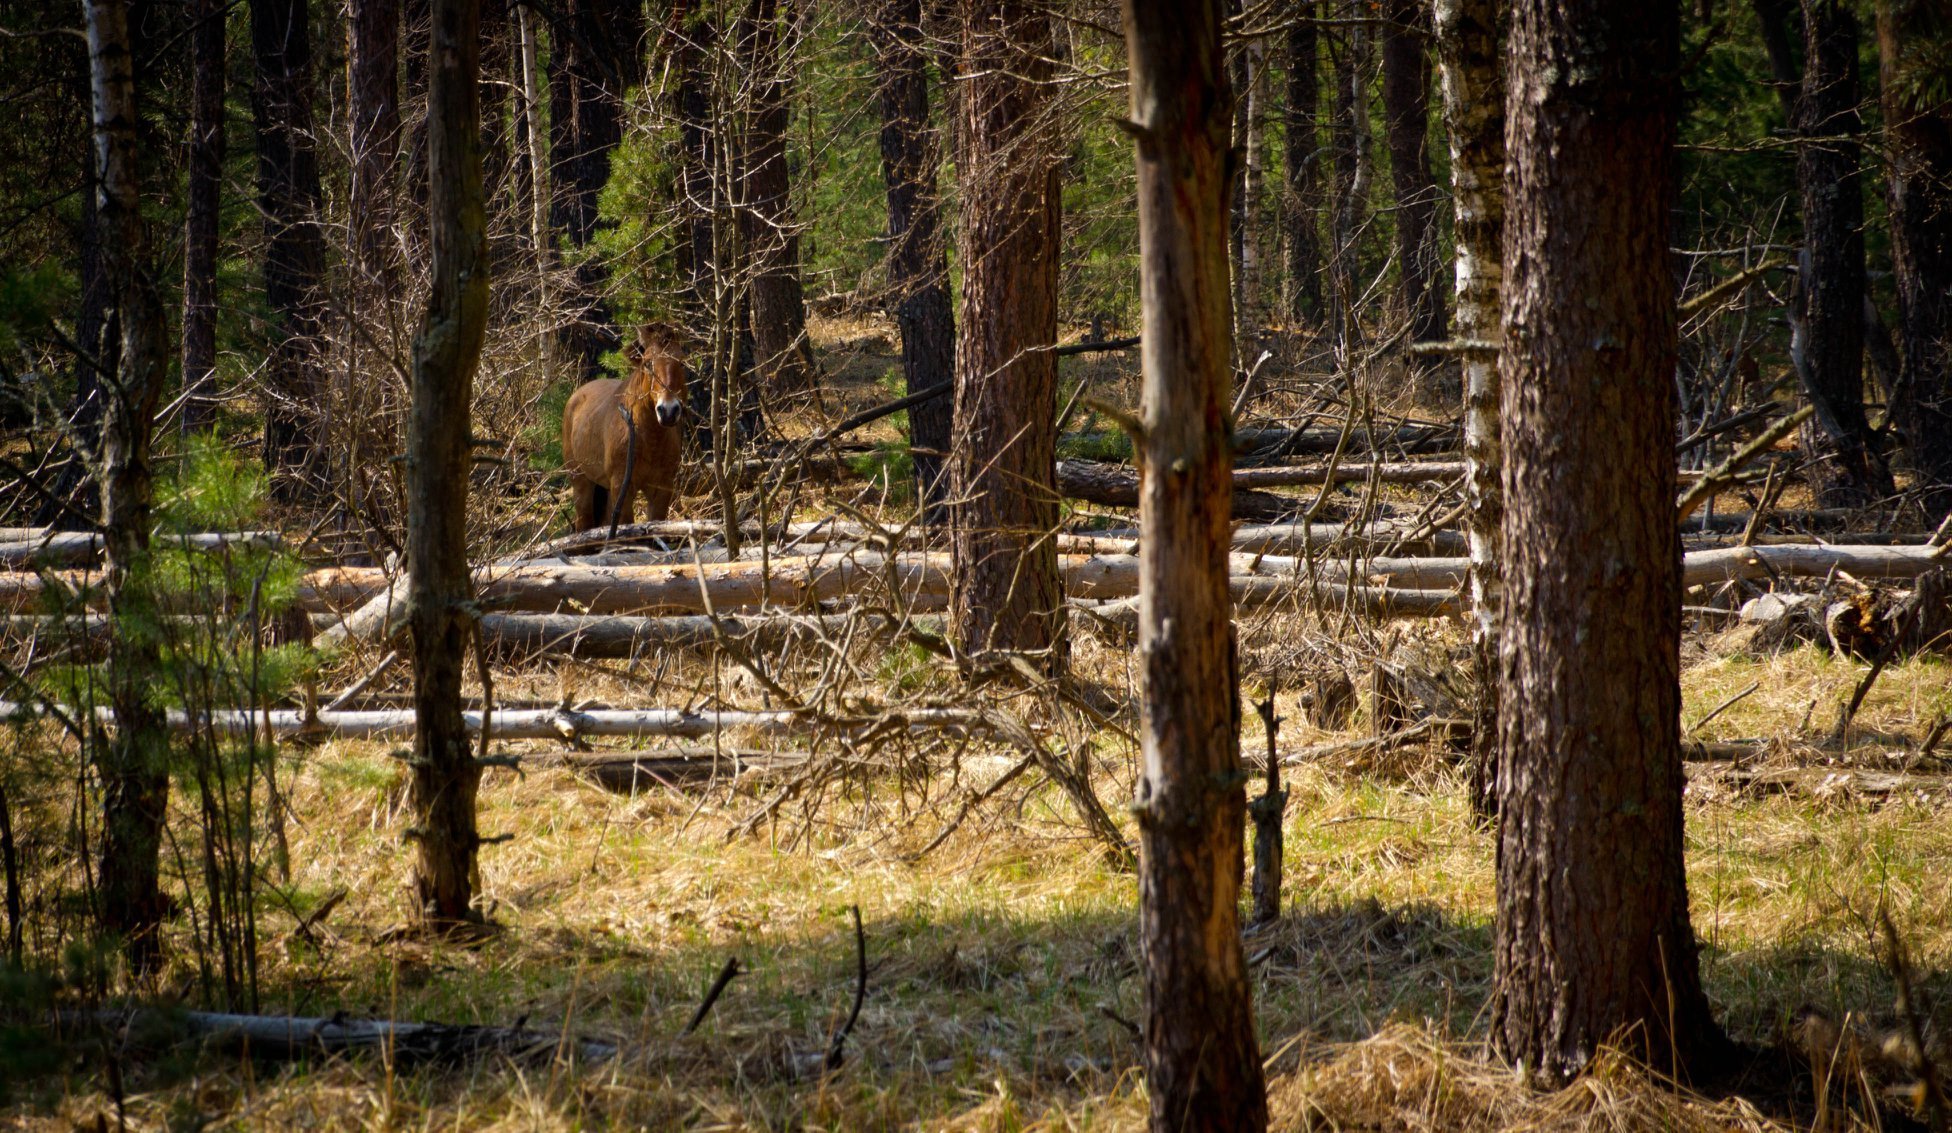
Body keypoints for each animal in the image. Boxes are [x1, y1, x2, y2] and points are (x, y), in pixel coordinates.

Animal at [562, 318, 691, 531]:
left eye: (681, 362)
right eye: (648, 363)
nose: (668, 410)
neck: (648, 439)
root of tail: (576, 396)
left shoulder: (661, 489)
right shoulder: (622, 487)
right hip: (580, 481)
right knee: (584, 522)